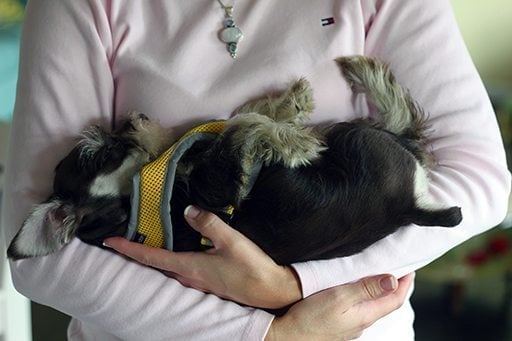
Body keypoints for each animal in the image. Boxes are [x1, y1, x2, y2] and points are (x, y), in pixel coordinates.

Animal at [7, 56, 464, 262]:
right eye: (105, 152)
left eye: (106, 141)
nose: (130, 119)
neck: (140, 191)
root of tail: (408, 207)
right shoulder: (223, 183)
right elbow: (241, 126)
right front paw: (294, 138)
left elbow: (239, 116)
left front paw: (286, 105)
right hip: (358, 141)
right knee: (405, 124)